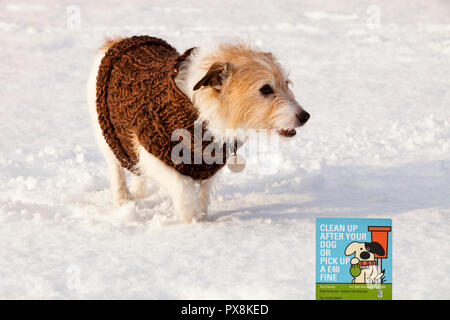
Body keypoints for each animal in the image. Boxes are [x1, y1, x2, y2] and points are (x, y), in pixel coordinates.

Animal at [88, 34, 310, 220]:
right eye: (265, 89)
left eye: (287, 83)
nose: (305, 116)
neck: (199, 112)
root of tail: (118, 41)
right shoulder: (155, 154)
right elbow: (183, 190)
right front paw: (193, 225)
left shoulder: (207, 166)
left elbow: (202, 197)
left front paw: (201, 221)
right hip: (111, 139)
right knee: (117, 171)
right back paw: (123, 202)